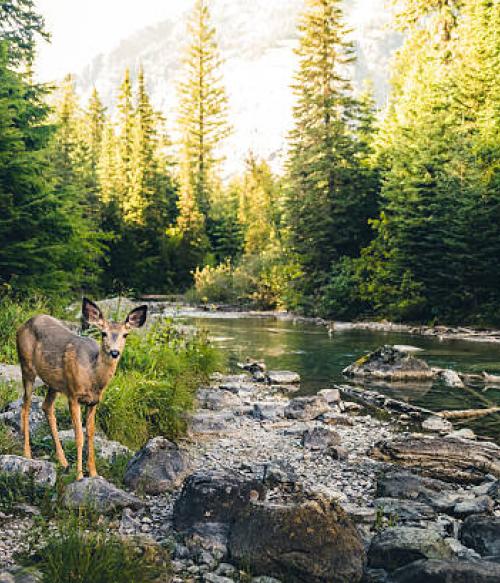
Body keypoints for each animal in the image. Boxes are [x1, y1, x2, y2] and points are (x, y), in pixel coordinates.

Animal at [16, 298, 148, 482]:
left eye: (125, 335)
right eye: (103, 333)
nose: (114, 352)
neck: (93, 377)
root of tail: (24, 324)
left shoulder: (94, 401)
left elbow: (91, 435)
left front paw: (94, 473)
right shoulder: (73, 395)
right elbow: (79, 436)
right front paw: (79, 475)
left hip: (55, 384)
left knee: (46, 406)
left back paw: (63, 462)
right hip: (26, 365)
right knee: (25, 406)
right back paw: (27, 454)